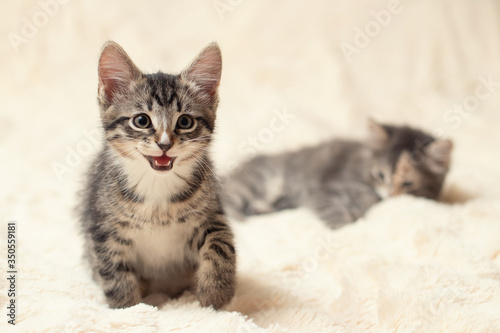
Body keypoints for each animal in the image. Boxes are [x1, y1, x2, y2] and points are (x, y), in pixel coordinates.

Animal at [80, 41, 236, 308]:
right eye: (142, 120)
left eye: (185, 122)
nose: (164, 144)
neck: (157, 188)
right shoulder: (102, 226)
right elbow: (114, 272)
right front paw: (128, 308)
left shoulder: (211, 213)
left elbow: (221, 246)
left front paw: (216, 295)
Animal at [223, 120, 454, 228]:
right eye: (380, 175)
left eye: (408, 183)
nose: (391, 194)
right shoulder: (324, 189)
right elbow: (335, 212)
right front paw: (346, 227)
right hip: (254, 183)